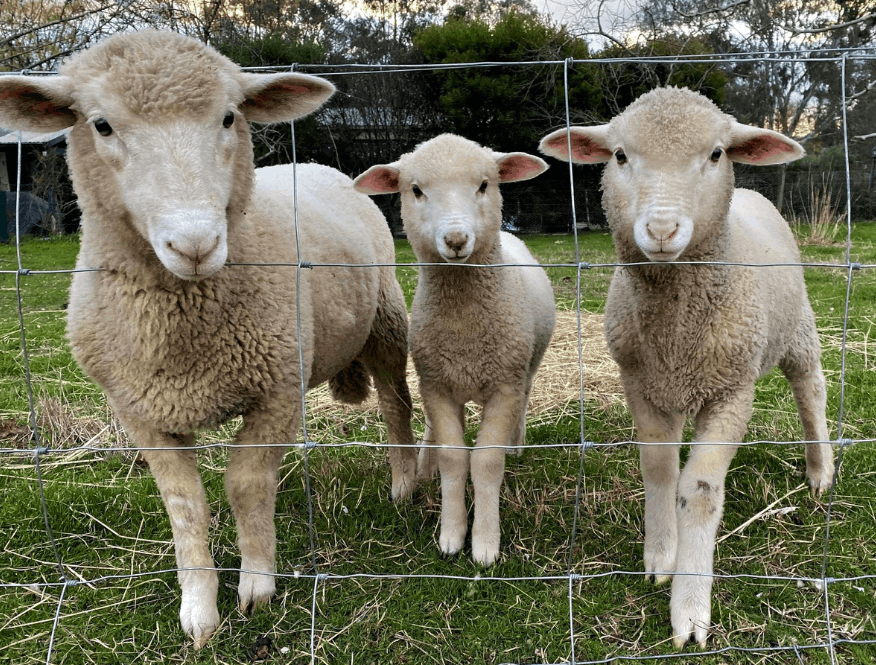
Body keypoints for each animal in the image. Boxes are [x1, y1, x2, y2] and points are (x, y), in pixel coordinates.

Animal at [0, 30, 418, 648]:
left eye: (227, 117)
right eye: (101, 125)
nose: (195, 244)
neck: (182, 323)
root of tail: (315, 163)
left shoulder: (277, 390)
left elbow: (246, 484)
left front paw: (257, 587)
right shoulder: (139, 410)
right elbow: (186, 505)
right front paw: (198, 610)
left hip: (385, 320)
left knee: (394, 403)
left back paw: (405, 481)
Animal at [353, 133, 556, 566]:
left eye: (484, 184)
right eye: (415, 190)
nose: (457, 240)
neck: (465, 328)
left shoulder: (504, 384)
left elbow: (486, 461)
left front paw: (484, 543)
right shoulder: (437, 385)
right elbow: (453, 458)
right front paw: (451, 533)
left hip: (527, 366)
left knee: (526, 398)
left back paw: (517, 444)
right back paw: (426, 462)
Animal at [539, 87, 835, 649]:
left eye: (716, 154)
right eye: (620, 155)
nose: (661, 229)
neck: (676, 326)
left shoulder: (732, 391)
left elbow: (698, 492)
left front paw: (690, 607)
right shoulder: (643, 382)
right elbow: (659, 470)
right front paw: (662, 556)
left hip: (797, 329)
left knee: (811, 389)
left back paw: (820, 471)